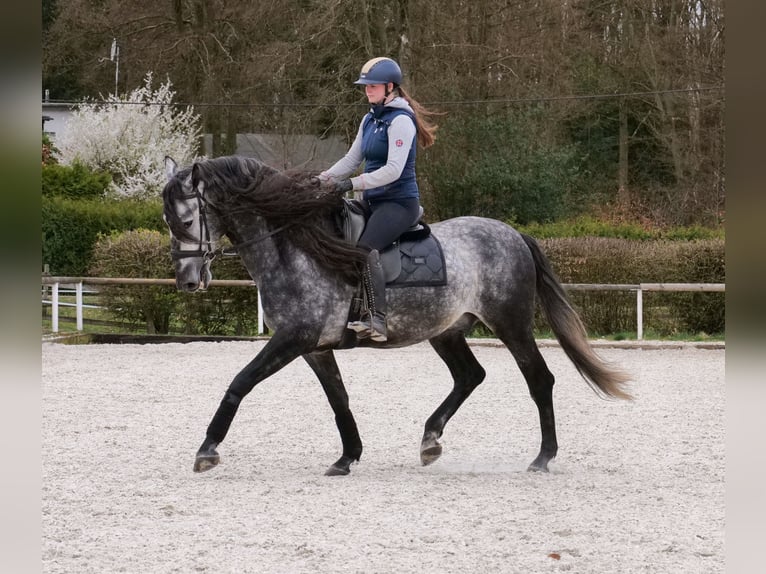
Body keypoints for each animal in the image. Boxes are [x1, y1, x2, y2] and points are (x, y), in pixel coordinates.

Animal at [162, 155, 632, 476]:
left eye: (185, 220)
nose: (187, 282)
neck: (293, 248)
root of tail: (513, 234)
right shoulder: (315, 347)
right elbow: (339, 399)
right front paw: (347, 457)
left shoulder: (294, 339)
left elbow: (240, 381)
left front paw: (207, 449)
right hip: (446, 330)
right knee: (470, 376)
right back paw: (430, 441)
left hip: (511, 325)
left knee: (539, 379)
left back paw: (543, 457)